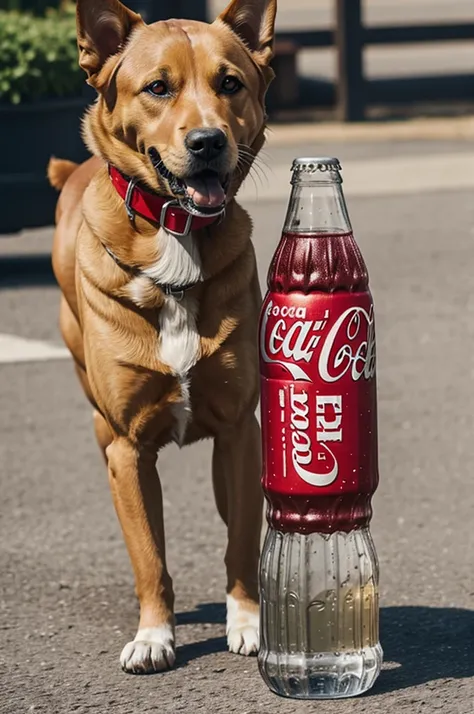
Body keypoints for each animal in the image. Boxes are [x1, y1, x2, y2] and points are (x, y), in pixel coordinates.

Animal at [48, 0, 278, 672]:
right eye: (157, 87)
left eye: (230, 83)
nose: (207, 141)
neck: (177, 232)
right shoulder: (128, 448)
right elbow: (149, 555)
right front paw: (154, 636)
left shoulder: (240, 431)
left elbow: (240, 539)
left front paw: (247, 622)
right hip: (100, 418)